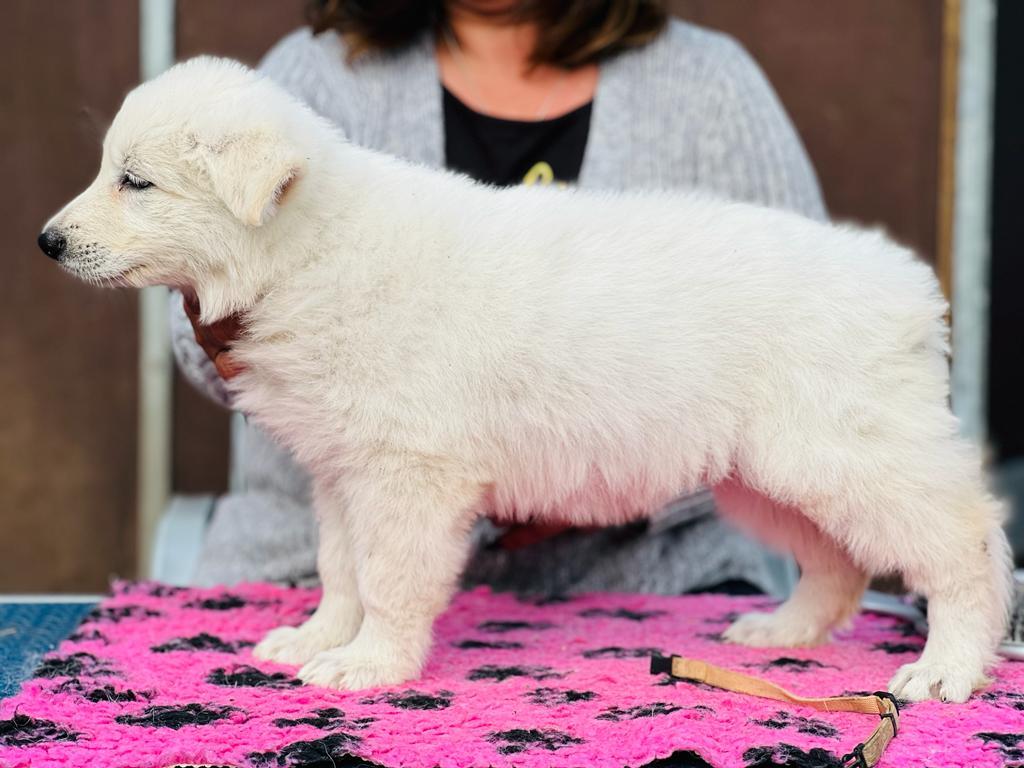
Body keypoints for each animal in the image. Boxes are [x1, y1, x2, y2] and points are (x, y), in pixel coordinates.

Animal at [39, 57, 1007, 700]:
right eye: (109, 170)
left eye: (136, 182)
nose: (47, 242)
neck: (309, 248)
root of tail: (908, 285)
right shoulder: (343, 469)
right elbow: (340, 568)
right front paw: (317, 637)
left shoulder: (407, 474)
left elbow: (386, 577)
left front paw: (368, 665)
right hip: (771, 471)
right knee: (838, 561)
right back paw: (785, 632)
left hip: (849, 450)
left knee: (965, 543)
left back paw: (946, 669)